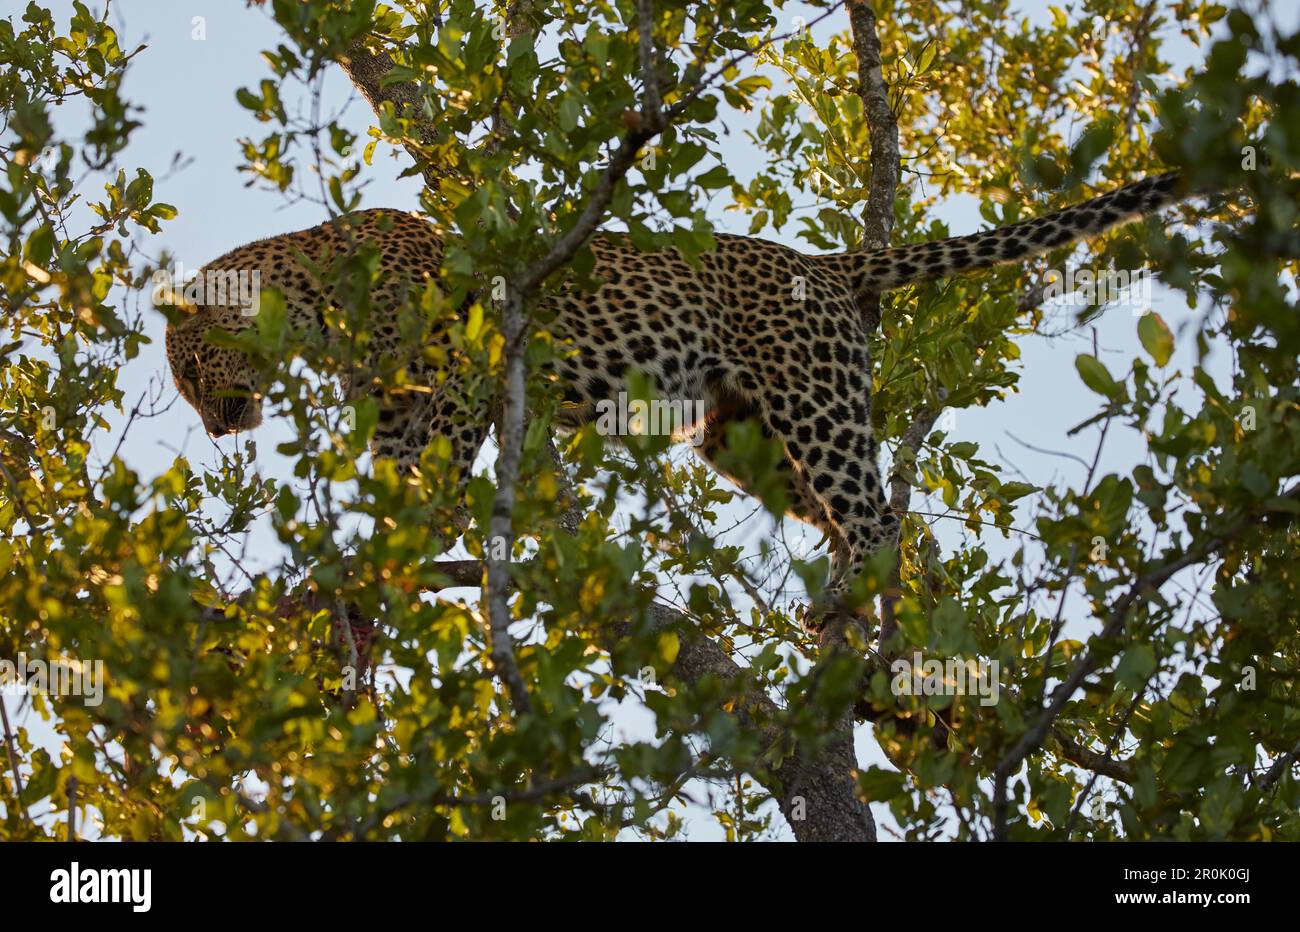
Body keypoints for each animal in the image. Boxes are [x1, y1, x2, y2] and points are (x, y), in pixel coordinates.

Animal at [167, 171, 1190, 600]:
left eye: (189, 370)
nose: (214, 433)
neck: (311, 307)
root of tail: (820, 263)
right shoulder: (392, 403)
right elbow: (392, 464)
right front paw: (374, 547)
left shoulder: (457, 374)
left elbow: (444, 460)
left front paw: (423, 526)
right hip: (743, 440)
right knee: (894, 528)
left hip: (813, 401)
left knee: (876, 520)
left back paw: (865, 624)